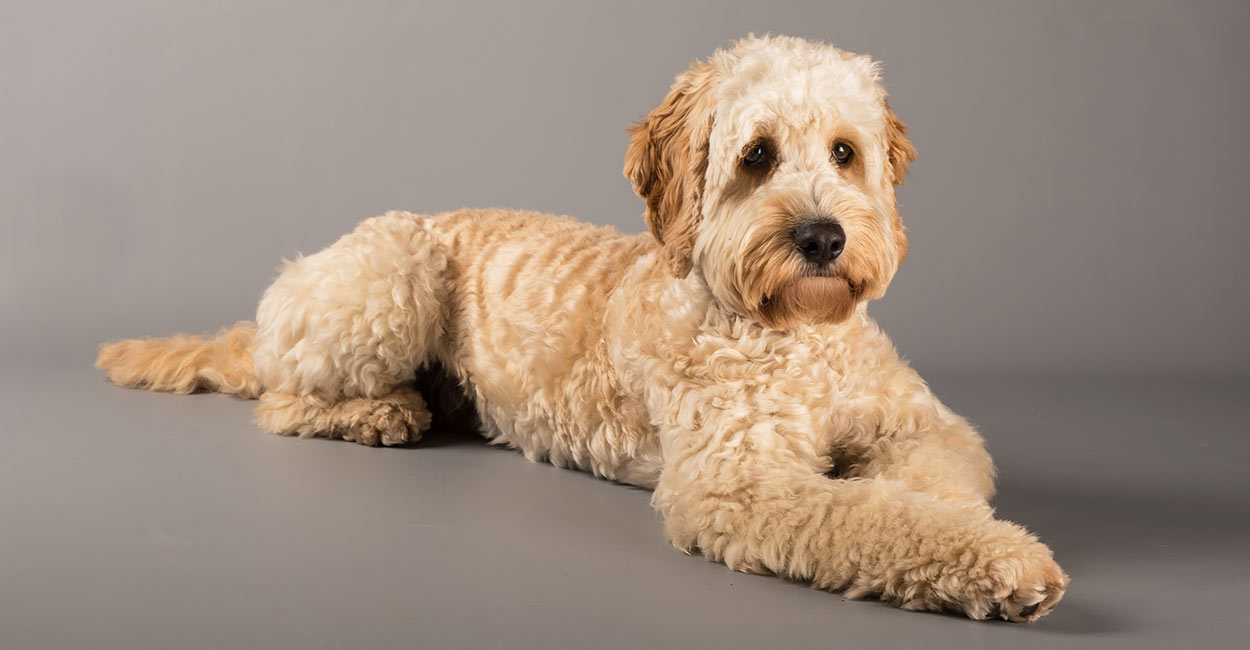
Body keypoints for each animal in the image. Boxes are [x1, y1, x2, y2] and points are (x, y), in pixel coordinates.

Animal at [100, 34, 1065, 620]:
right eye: (756, 156)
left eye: (844, 152)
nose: (824, 238)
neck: (794, 335)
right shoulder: (739, 484)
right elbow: (865, 517)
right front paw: (1000, 561)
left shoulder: (922, 422)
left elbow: (927, 485)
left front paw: (964, 532)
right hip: (395, 268)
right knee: (284, 398)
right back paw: (382, 412)